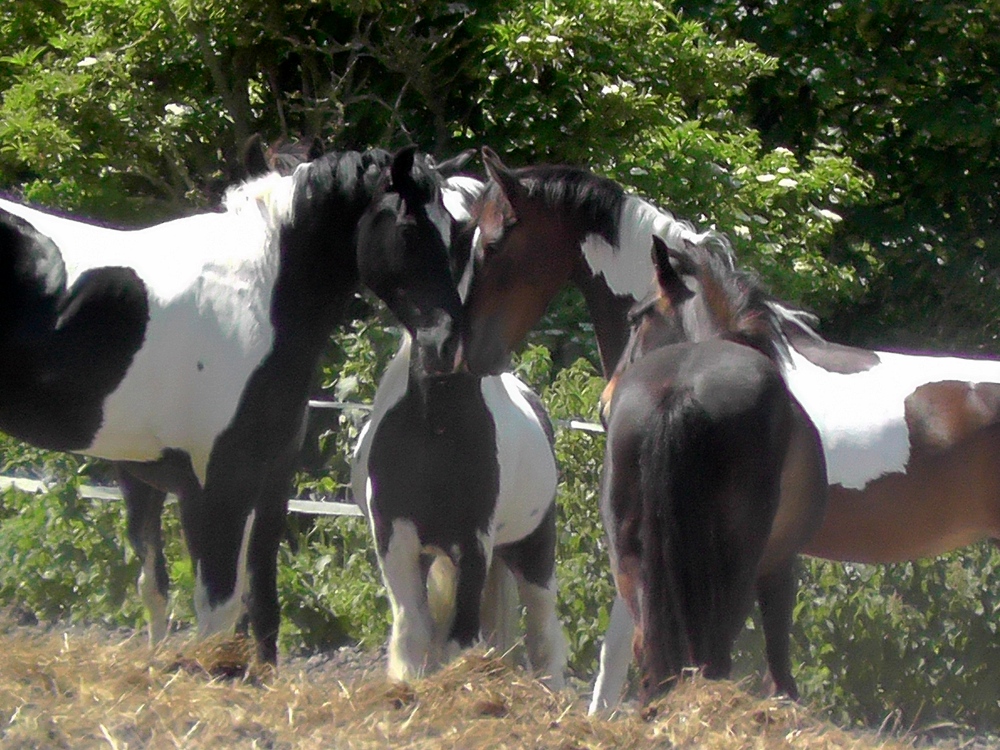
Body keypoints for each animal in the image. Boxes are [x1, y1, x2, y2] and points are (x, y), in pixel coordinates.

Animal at [0, 144, 470, 664]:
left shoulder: (257, 481)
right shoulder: (219, 483)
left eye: (455, 231)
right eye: (408, 230)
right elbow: (217, 607)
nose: (447, 346)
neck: (258, 297)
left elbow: (250, 604)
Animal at [349, 166, 567, 686]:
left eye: (462, 236)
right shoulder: (396, 539)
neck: (435, 431)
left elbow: (461, 641)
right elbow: (414, 636)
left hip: (531, 549)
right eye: (405, 235)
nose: (442, 347)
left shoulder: (473, 544)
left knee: (544, 637)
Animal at [600, 235, 816, 703]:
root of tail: (679, 390)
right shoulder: (780, 561)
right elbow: (778, 647)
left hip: (631, 553)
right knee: (714, 649)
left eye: (636, 319)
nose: (604, 404)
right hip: (738, 558)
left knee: (652, 647)